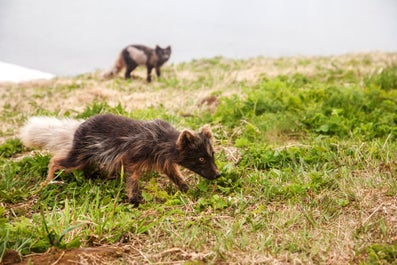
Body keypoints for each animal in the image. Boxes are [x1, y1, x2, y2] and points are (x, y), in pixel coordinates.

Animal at [20, 113, 220, 204]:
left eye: (212, 155)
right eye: (201, 159)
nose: (218, 175)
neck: (162, 140)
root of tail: (77, 128)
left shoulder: (164, 162)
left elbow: (176, 176)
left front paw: (187, 190)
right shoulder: (133, 157)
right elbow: (132, 179)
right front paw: (134, 200)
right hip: (80, 155)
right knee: (55, 161)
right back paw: (47, 182)